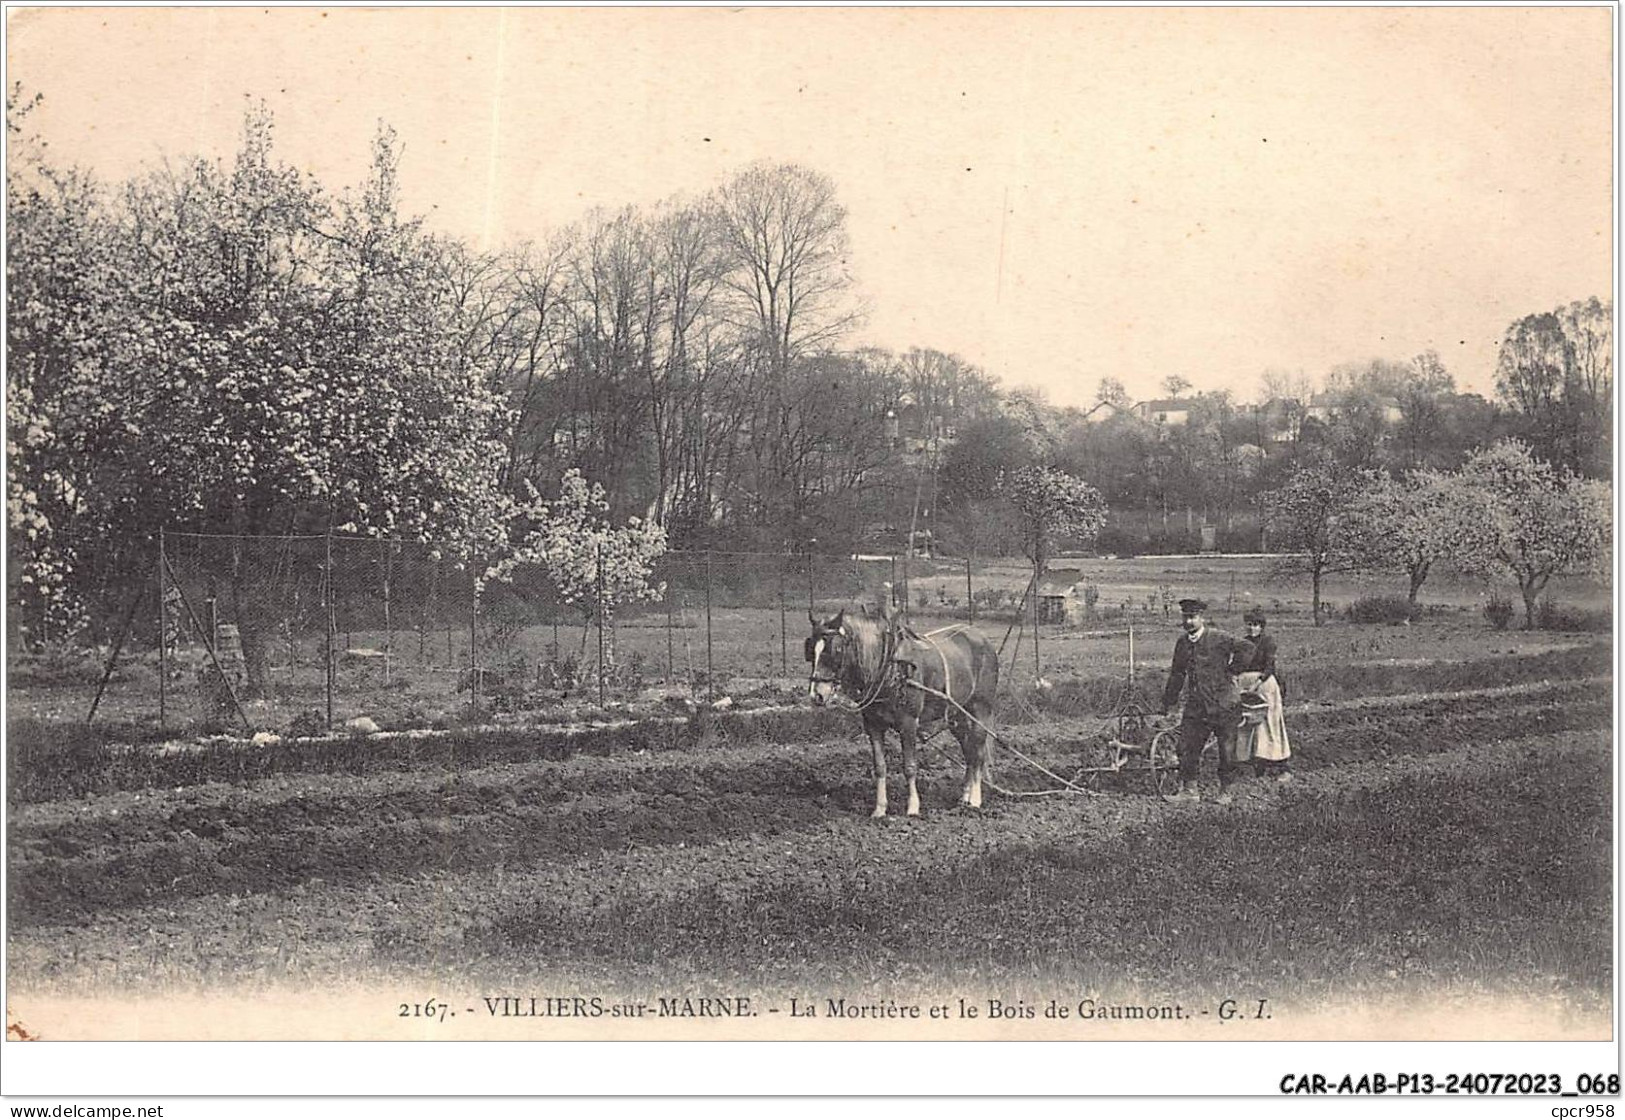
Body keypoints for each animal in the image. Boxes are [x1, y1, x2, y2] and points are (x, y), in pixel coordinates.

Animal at [802, 607, 1001, 816]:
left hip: (981, 709)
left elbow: (910, 766)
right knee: (969, 751)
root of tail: (980, 636)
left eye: (836, 650)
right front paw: (880, 809)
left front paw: (913, 807)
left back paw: (975, 800)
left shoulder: (909, 723)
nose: (816, 695)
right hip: (957, 715)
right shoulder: (873, 724)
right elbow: (880, 766)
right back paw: (964, 797)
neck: (890, 666)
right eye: (810, 649)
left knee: (978, 752)